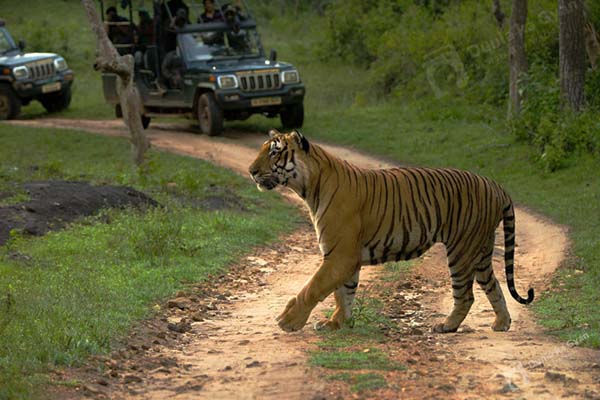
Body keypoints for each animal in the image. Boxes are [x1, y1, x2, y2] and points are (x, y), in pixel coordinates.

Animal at [248, 130, 536, 332]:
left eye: (274, 153)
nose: (251, 171)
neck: (310, 187)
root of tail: (495, 185)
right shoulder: (343, 256)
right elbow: (343, 293)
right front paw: (336, 324)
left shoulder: (340, 254)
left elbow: (313, 287)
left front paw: (289, 321)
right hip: (481, 248)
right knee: (493, 285)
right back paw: (502, 323)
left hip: (462, 249)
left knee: (465, 294)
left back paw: (447, 326)